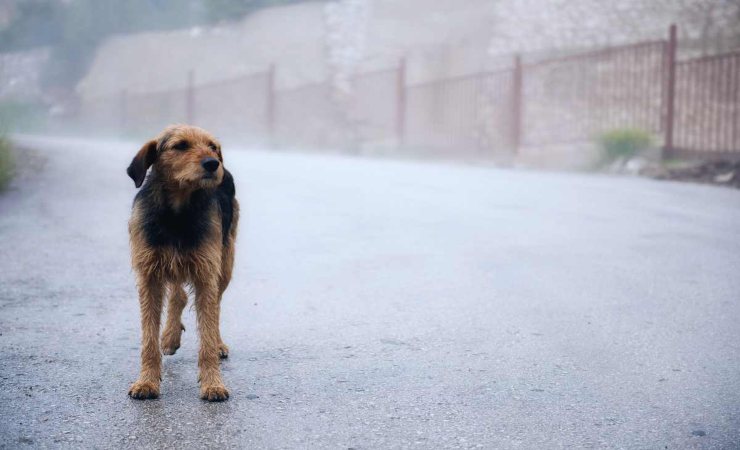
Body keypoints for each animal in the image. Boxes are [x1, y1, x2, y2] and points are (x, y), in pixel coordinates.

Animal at [125, 123, 238, 400]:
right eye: (181, 145)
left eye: (212, 146)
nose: (213, 163)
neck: (176, 212)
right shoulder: (149, 275)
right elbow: (148, 338)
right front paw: (146, 382)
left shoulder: (206, 272)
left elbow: (207, 333)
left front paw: (213, 384)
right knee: (179, 295)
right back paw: (169, 337)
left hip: (224, 264)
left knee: (215, 308)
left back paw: (217, 344)